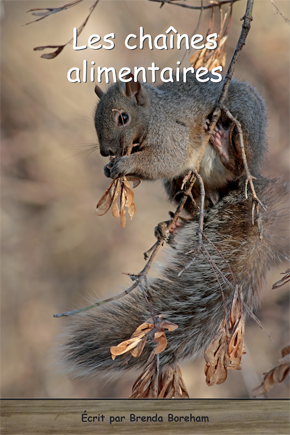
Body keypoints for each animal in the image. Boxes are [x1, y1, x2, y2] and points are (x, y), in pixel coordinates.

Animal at [60, 74, 288, 384]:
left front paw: (123, 164)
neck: (152, 116)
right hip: (180, 184)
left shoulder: (172, 135)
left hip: (245, 126)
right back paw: (176, 221)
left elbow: (166, 158)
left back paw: (226, 149)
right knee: (200, 204)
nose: (106, 152)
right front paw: (111, 168)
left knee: (238, 166)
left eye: (123, 117)